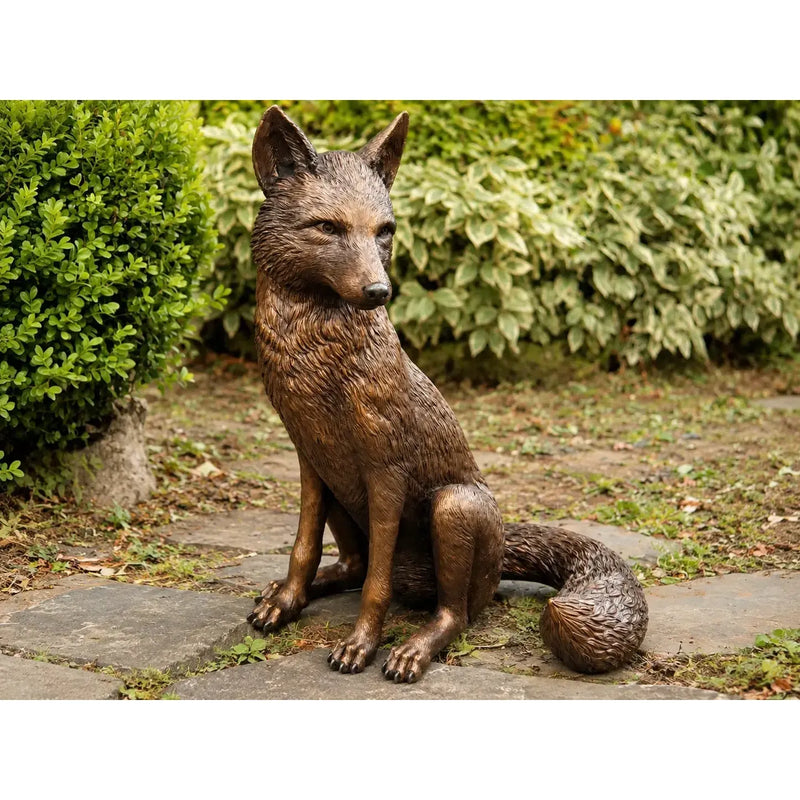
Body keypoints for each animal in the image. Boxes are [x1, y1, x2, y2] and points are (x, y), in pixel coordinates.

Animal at [247, 106, 648, 683]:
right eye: (326, 227)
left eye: (385, 231)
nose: (379, 292)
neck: (316, 361)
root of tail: (502, 552)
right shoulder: (312, 462)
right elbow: (304, 549)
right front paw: (286, 601)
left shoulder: (386, 472)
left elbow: (377, 587)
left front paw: (362, 644)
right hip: (348, 499)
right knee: (352, 565)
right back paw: (294, 590)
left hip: (453, 507)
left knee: (452, 611)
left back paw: (416, 647)